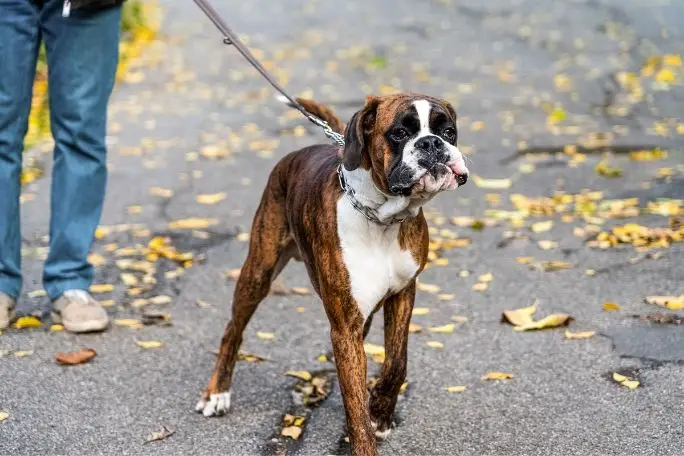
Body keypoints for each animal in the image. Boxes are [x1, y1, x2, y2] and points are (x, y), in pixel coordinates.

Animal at [195, 93, 468, 456]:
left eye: (448, 131)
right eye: (399, 133)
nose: (431, 143)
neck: (381, 218)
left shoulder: (402, 293)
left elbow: (397, 363)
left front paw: (380, 414)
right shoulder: (345, 327)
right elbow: (355, 407)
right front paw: (366, 433)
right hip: (258, 271)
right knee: (232, 330)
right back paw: (217, 392)